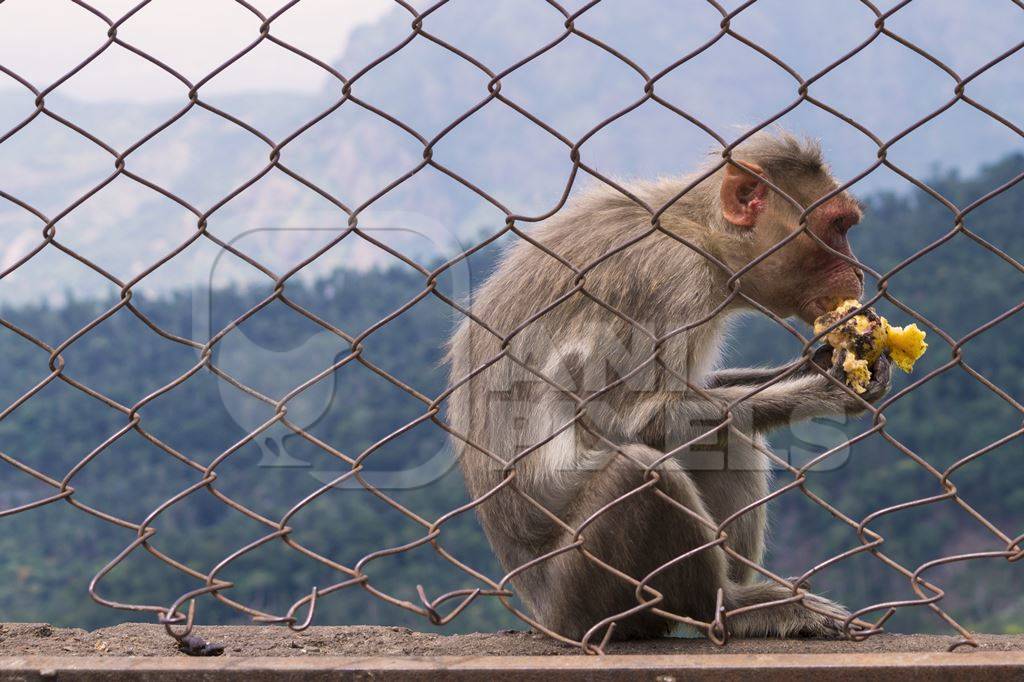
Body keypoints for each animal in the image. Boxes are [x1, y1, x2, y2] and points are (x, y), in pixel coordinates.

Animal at [446, 130, 888, 638]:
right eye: (837, 227)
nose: (858, 271)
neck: (700, 235)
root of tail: (543, 615)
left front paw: (824, 363)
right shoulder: (675, 281)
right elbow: (641, 421)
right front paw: (826, 391)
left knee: (726, 436)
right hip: (580, 590)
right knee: (642, 466)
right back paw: (730, 606)